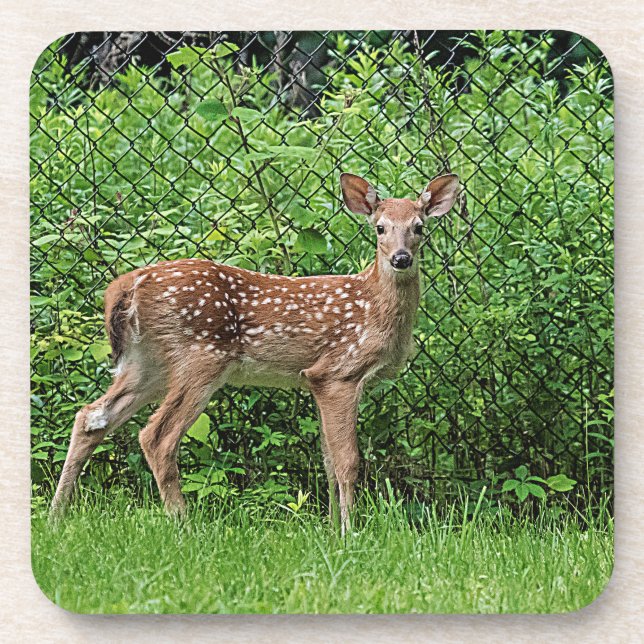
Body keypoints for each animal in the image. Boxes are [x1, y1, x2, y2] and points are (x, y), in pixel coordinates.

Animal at [50, 172, 460, 534]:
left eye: (419, 227)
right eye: (380, 228)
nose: (401, 258)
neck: (374, 307)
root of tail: (126, 285)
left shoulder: (314, 380)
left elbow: (327, 461)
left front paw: (331, 530)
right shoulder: (339, 371)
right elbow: (348, 462)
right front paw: (350, 532)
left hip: (147, 363)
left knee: (91, 417)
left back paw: (58, 514)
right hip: (200, 356)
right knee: (157, 436)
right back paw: (184, 524)